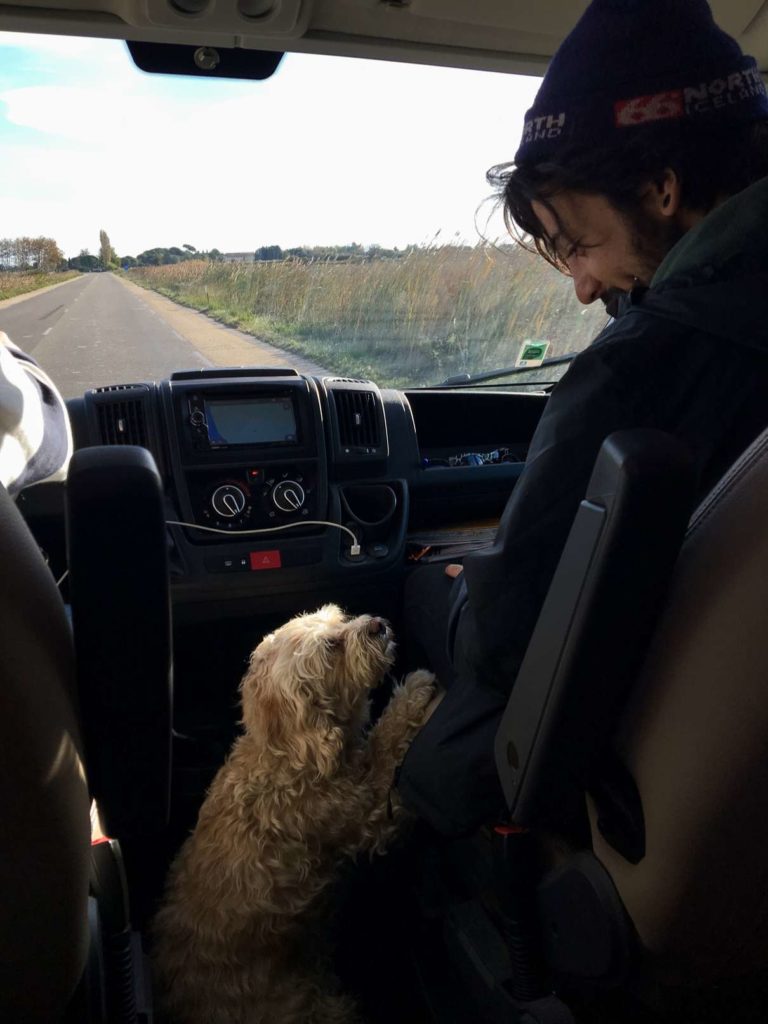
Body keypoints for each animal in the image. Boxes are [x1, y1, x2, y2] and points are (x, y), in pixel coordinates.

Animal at [153, 602, 436, 1019]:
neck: (287, 757)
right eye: (332, 647)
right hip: (316, 1007)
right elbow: (386, 748)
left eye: (339, 620)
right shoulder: (365, 812)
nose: (377, 625)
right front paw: (414, 691)